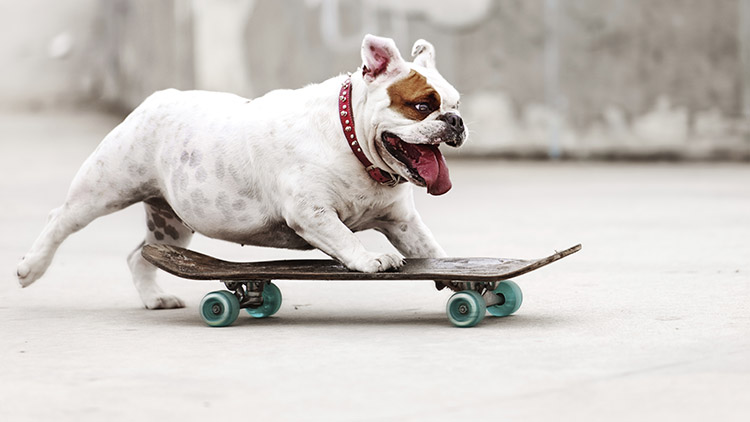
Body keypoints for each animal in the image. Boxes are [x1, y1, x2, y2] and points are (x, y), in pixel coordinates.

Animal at [17, 34, 468, 308]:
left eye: (456, 103)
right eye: (422, 105)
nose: (455, 121)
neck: (352, 142)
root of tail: (156, 98)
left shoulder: (403, 223)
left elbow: (432, 251)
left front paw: (458, 275)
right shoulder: (312, 213)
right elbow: (344, 237)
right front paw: (370, 259)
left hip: (172, 222)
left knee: (140, 254)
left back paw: (154, 298)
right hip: (103, 189)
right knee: (61, 220)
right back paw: (30, 267)